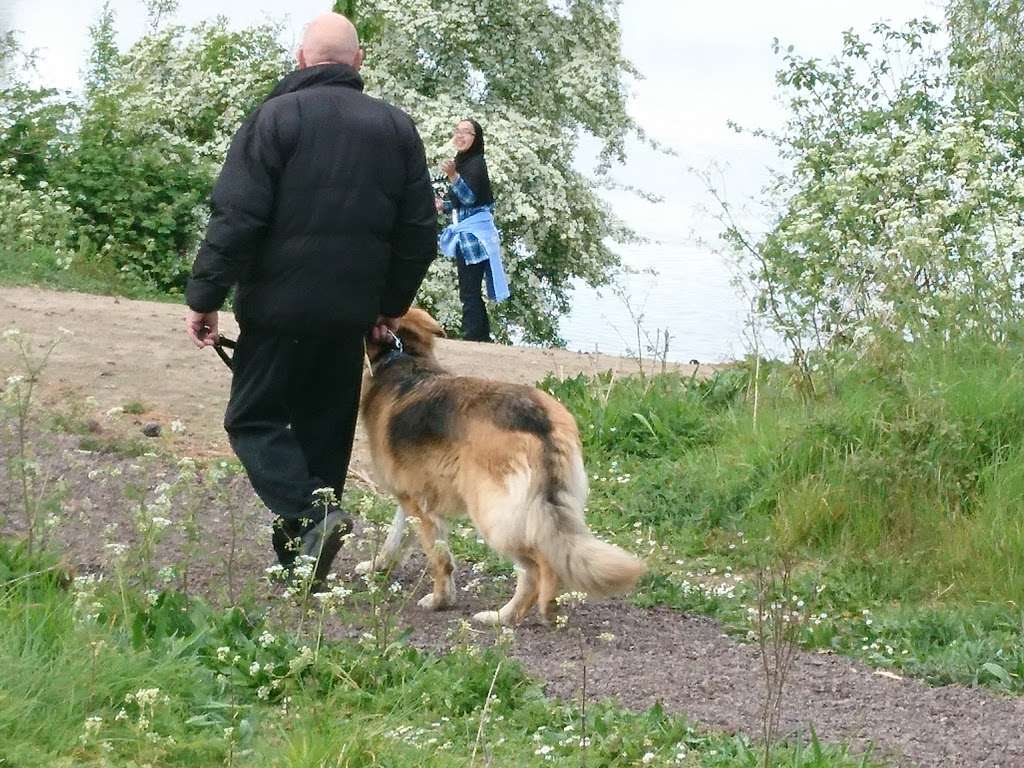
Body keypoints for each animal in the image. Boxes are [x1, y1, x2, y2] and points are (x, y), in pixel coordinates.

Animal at [356, 307, 643, 626]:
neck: (402, 357)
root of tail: (538, 421)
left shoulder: (419, 504)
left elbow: (440, 560)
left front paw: (440, 600)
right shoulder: (413, 500)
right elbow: (396, 537)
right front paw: (379, 565)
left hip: (495, 516)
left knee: (538, 567)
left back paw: (506, 615)